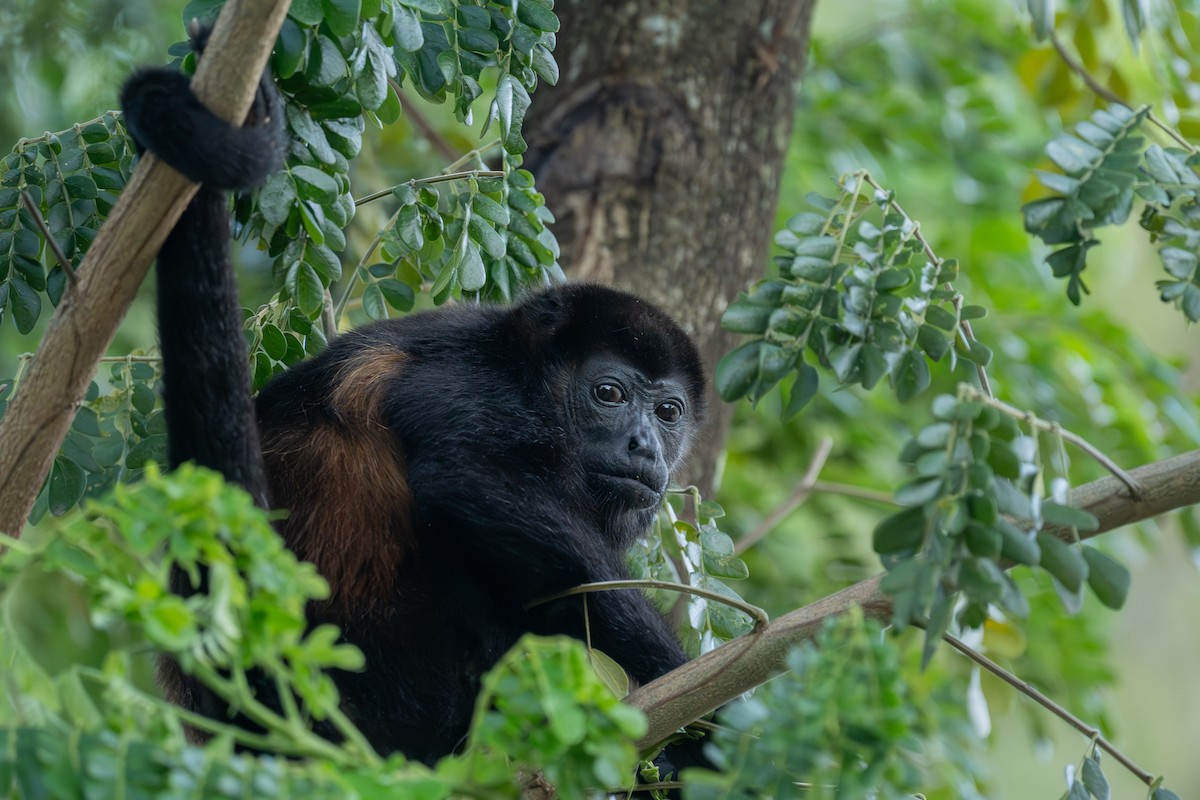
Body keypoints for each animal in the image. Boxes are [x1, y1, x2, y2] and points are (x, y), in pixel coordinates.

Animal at [120, 30, 708, 773]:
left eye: (668, 412)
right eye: (609, 394)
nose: (646, 445)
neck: (534, 382)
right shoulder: (472, 385)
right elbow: (466, 482)